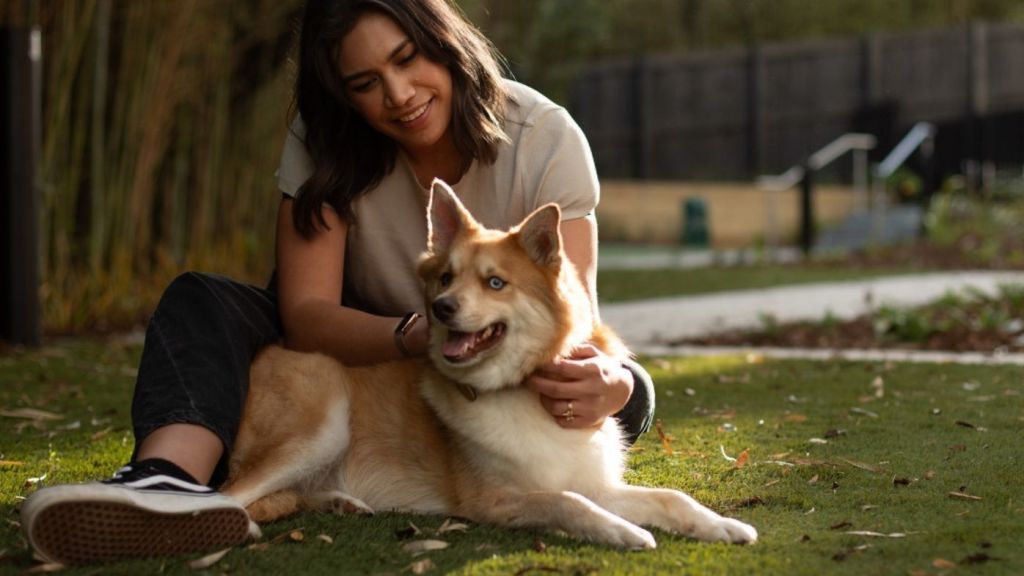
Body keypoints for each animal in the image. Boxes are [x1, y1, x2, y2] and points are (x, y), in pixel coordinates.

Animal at [220, 179, 757, 545]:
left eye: (495, 282)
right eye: (445, 278)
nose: (441, 309)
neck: (521, 389)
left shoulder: (589, 479)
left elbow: (668, 495)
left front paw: (722, 524)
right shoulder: (495, 501)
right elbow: (567, 501)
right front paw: (622, 531)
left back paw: (338, 501)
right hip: (323, 419)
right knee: (230, 490)